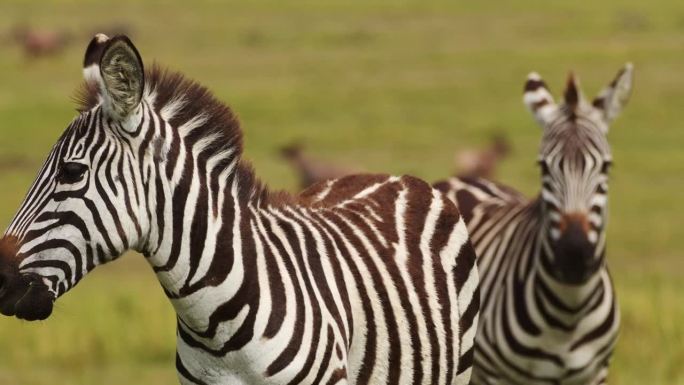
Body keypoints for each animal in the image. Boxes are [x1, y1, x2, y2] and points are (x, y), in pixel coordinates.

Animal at [436, 63, 632, 384]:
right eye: (544, 166)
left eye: (606, 166)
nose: (574, 255)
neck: (569, 313)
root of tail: (458, 179)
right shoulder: (497, 375)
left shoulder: (596, 374)